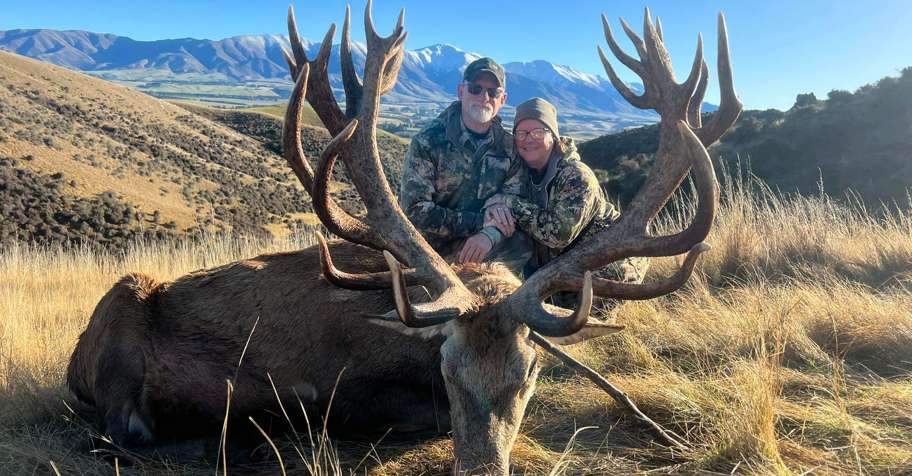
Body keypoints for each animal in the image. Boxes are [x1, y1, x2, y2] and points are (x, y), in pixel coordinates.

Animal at [66, 3, 740, 474]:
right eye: (447, 368)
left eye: (528, 375)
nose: (481, 469)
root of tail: (75, 362)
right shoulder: (345, 392)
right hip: (123, 316)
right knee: (116, 437)